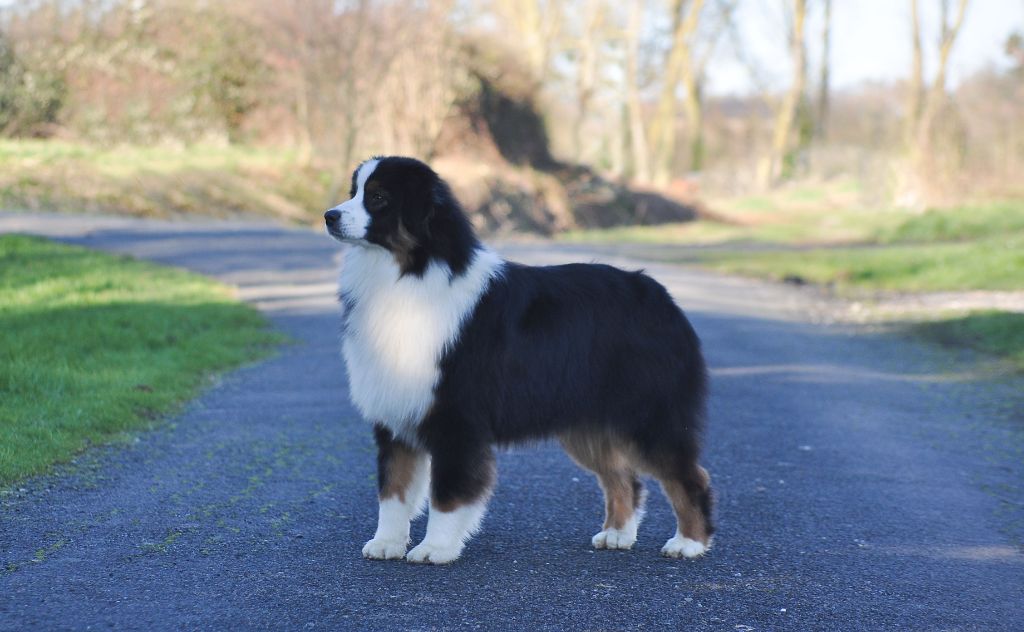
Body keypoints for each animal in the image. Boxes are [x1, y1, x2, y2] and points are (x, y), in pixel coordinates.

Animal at [325, 156, 712, 561]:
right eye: (354, 191)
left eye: (378, 198)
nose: (328, 216)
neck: (409, 274)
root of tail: (660, 294)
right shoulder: (396, 412)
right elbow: (394, 489)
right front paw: (386, 543)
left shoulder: (456, 420)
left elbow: (446, 494)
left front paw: (435, 548)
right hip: (588, 425)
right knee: (623, 477)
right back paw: (617, 534)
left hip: (649, 417)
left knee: (689, 476)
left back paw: (688, 543)